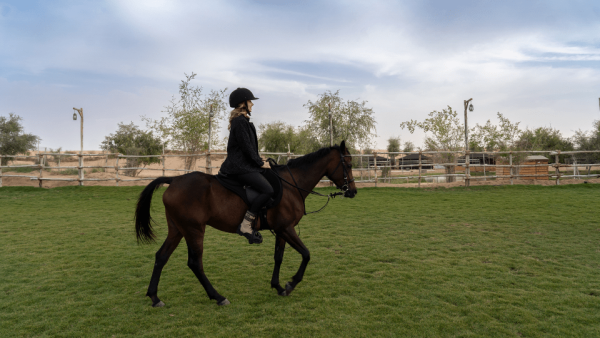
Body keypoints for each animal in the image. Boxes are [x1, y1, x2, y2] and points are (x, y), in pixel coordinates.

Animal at [134, 140, 356, 306]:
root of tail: (174, 180)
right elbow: (306, 254)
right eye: (349, 164)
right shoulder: (287, 228)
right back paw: (218, 297)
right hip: (194, 230)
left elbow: (278, 257)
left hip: (177, 230)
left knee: (161, 257)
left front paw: (277, 286)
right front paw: (291, 284)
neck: (291, 185)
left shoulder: (281, 230)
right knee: (195, 263)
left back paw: (154, 297)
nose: (353, 191)